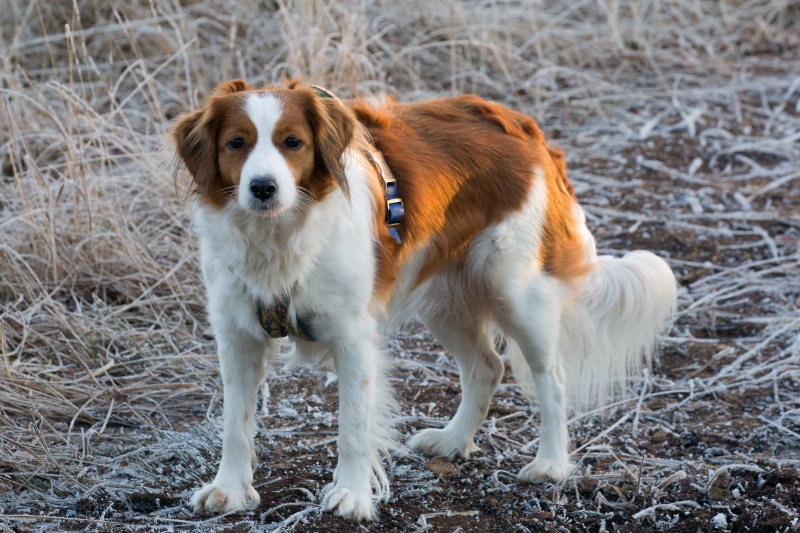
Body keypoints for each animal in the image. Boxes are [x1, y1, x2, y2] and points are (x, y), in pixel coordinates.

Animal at [172, 79, 680, 520]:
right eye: (236, 143)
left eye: (292, 142)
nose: (263, 187)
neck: (279, 235)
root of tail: (522, 126)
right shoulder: (237, 337)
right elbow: (234, 425)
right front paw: (229, 490)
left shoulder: (353, 338)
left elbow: (353, 426)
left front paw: (352, 495)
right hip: (446, 302)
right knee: (487, 367)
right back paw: (453, 441)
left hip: (517, 291)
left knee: (551, 378)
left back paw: (550, 464)